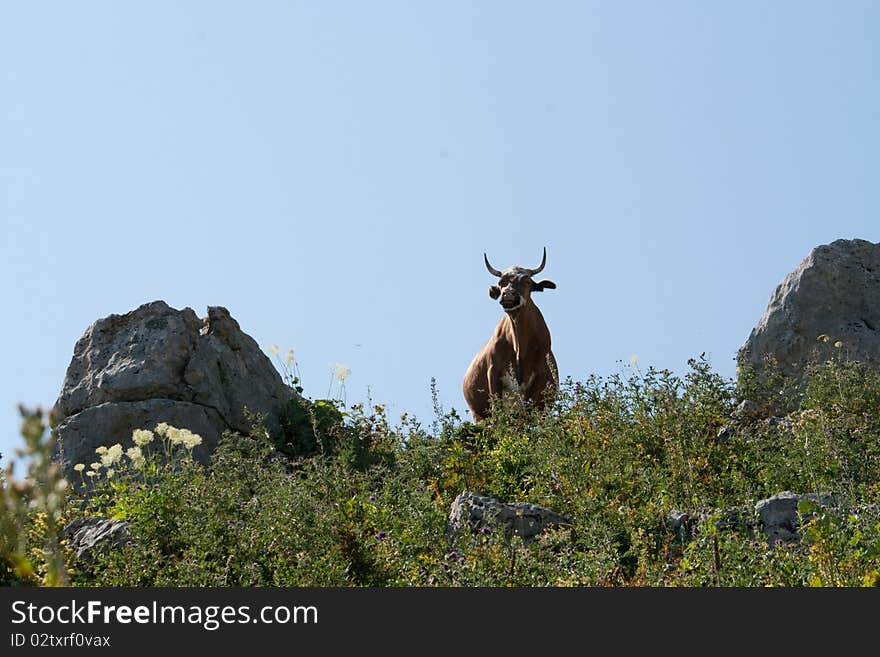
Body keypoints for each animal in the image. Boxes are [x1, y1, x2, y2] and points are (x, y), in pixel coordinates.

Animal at [460, 246, 556, 420]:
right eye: (501, 283)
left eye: (527, 281)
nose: (508, 294)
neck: (520, 348)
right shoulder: (493, 371)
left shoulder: (540, 378)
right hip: (477, 414)